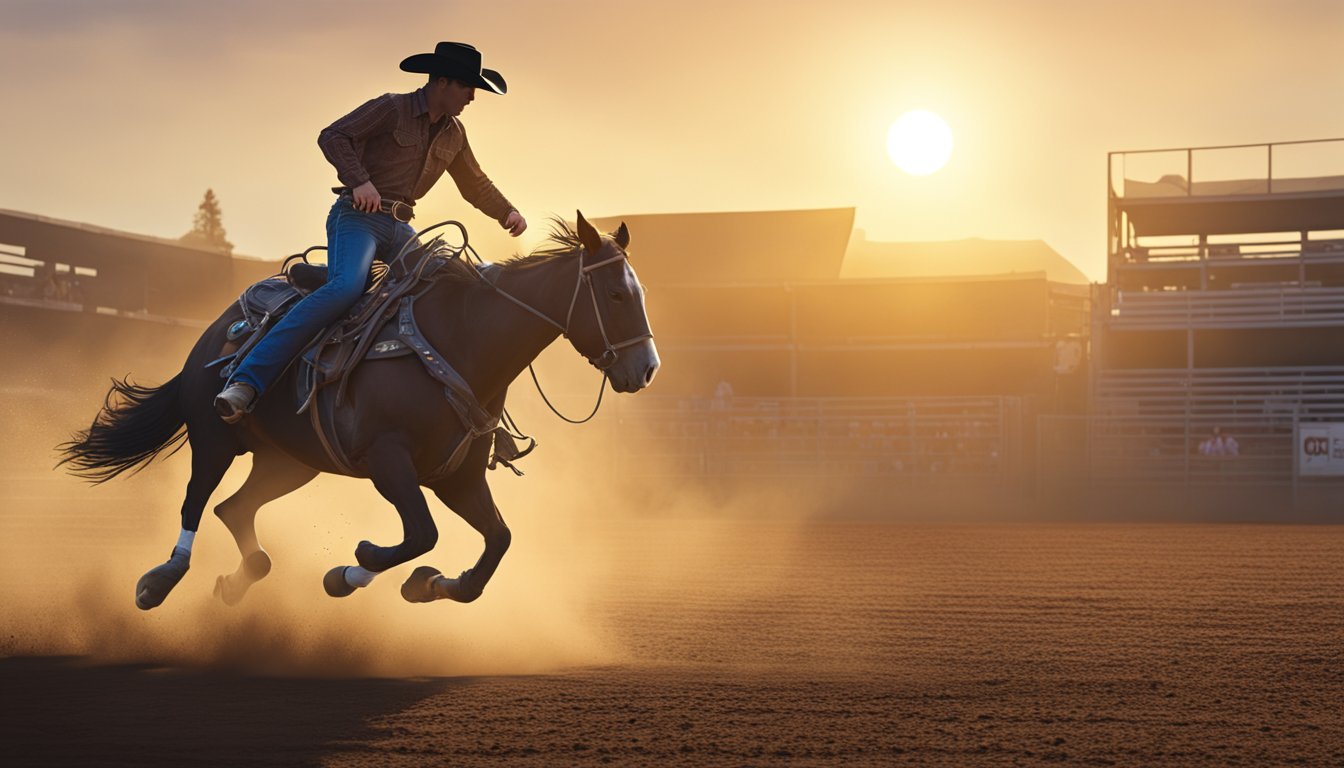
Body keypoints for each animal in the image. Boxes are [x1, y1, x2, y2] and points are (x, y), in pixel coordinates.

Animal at [57, 215, 655, 613]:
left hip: (289, 462)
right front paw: (353, 568)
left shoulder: (457, 476)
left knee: (234, 509)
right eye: (615, 294)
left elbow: (496, 541)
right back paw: (158, 581)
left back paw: (238, 580)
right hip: (213, 435)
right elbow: (421, 533)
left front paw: (425, 584)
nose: (646, 369)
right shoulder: (388, 460)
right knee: (196, 501)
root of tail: (219, 327)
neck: (458, 341)